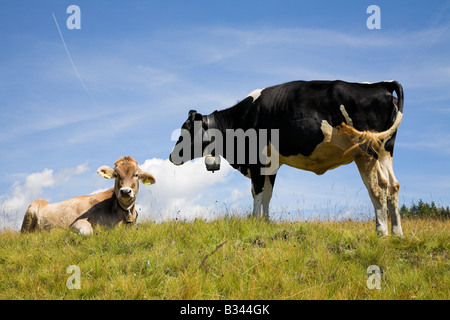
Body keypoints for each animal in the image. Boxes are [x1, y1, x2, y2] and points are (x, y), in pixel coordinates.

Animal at [171, 80, 406, 235]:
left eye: (185, 130)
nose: (171, 157)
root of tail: (382, 84)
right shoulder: (271, 164)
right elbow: (267, 194)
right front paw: (265, 222)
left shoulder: (256, 161)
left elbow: (257, 192)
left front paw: (254, 221)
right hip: (385, 150)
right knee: (392, 185)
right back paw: (397, 232)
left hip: (365, 151)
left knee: (376, 187)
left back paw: (381, 232)